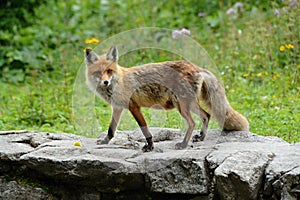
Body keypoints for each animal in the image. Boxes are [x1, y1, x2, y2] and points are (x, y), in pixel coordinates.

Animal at [84, 45, 248, 152]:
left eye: (109, 71)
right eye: (98, 73)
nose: (105, 82)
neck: (118, 82)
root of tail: (196, 67)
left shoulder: (134, 107)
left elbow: (145, 129)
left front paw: (150, 146)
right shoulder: (118, 108)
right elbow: (111, 130)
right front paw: (105, 141)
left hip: (182, 106)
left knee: (192, 122)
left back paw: (183, 144)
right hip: (190, 104)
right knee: (206, 115)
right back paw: (200, 137)